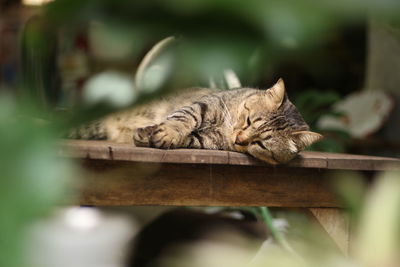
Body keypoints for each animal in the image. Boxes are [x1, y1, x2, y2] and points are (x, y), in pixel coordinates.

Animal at [71, 78, 322, 164]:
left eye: (261, 144)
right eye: (249, 120)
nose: (239, 139)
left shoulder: (207, 142)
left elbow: (189, 139)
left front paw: (151, 135)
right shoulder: (205, 105)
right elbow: (183, 118)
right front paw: (167, 132)